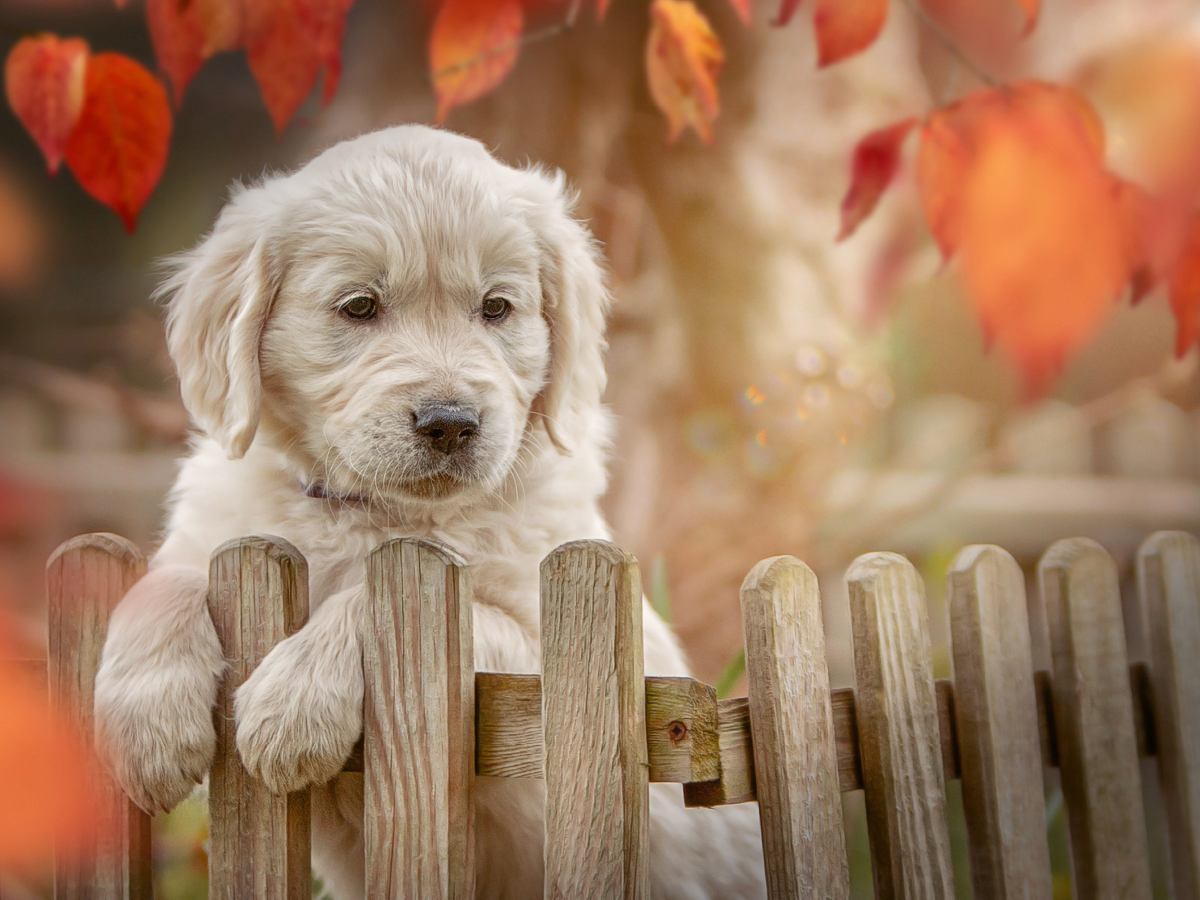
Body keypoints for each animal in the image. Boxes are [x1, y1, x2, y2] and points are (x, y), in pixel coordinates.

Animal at [96, 123, 768, 897]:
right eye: (359, 307)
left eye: (497, 308)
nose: (450, 423)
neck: (375, 513)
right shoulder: (216, 528)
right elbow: (162, 582)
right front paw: (145, 729)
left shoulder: (550, 674)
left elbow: (392, 601)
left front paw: (292, 706)